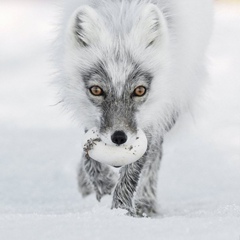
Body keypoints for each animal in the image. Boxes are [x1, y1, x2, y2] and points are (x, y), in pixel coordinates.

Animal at [56, 0, 214, 217]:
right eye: (96, 90)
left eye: (139, 90)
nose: (119, 137)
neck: (121, 17)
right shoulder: (89, 116)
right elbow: (89, 156)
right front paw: (103, 184)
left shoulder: (153, 117)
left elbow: (135, 169)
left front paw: (121, 211)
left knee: (155, 155)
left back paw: (146, 203)